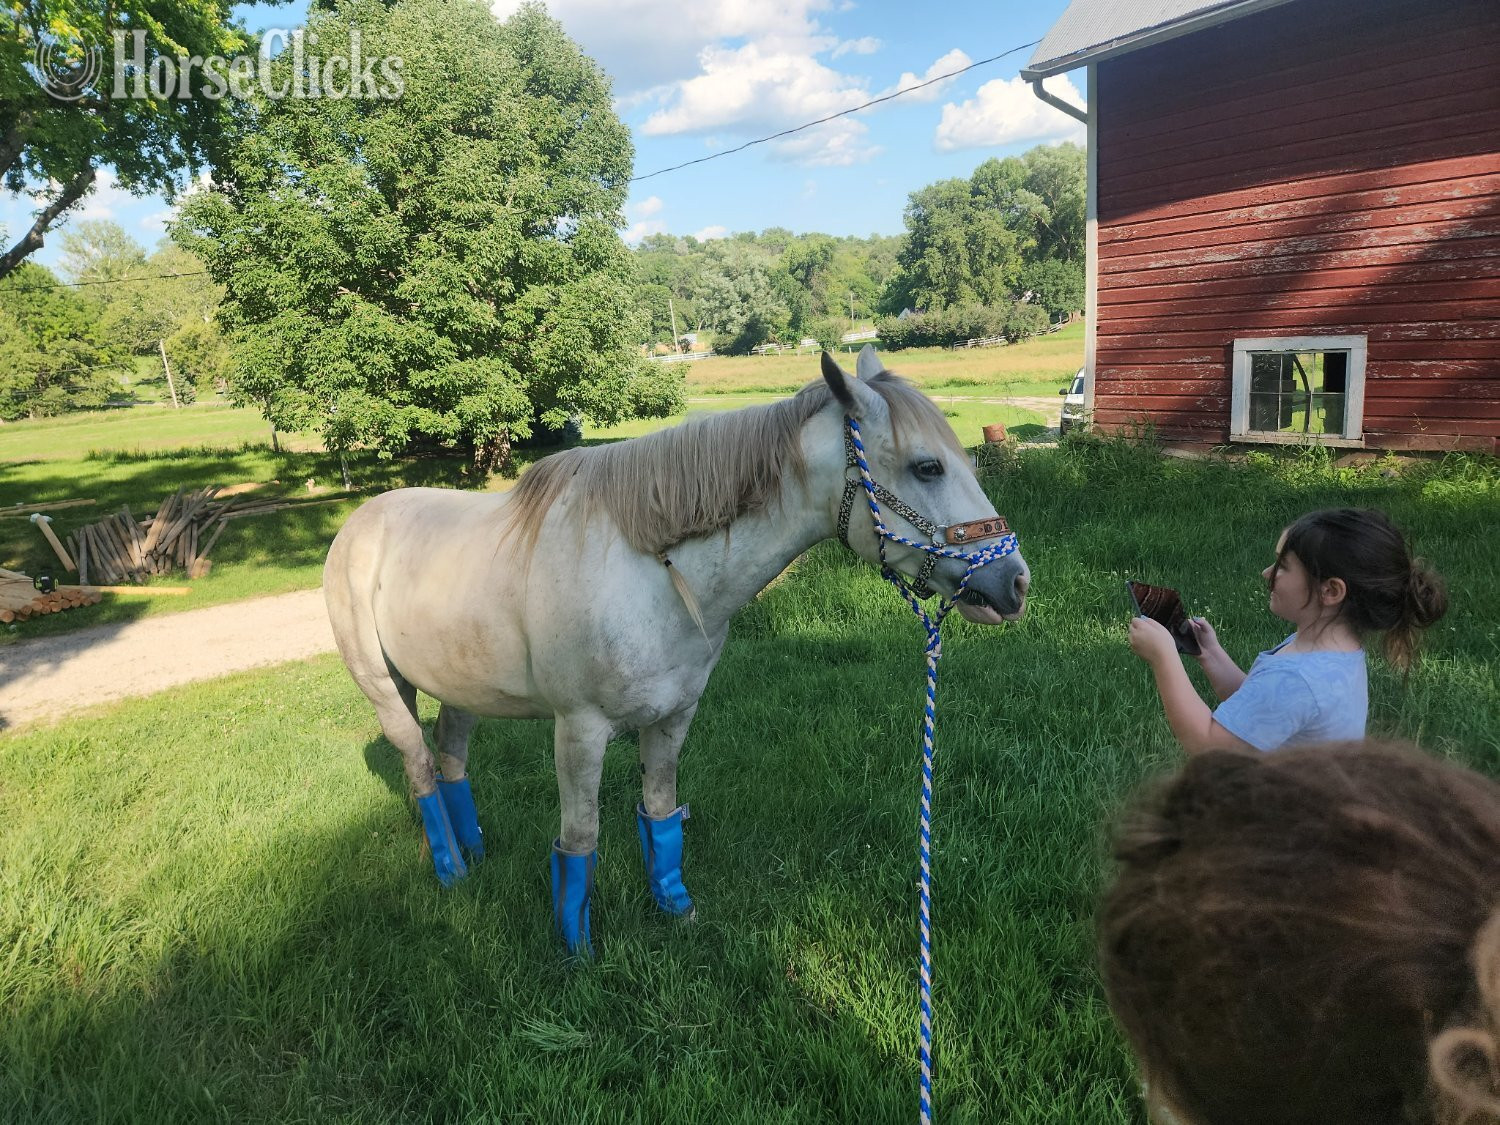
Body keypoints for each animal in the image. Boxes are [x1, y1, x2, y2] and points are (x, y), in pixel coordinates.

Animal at [323, 346, 1030, 954]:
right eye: (927, 466)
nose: (1014, 583)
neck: (651, 572)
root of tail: (359, 524)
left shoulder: (672, 717)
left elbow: (659, 813)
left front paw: (675, 908)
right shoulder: (578, 731)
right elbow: (580, 839)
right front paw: (576, 950)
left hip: (462, 688)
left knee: (451, 758)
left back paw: (473, 853)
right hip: (384, 688)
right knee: (419, 766)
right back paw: (450, 872)